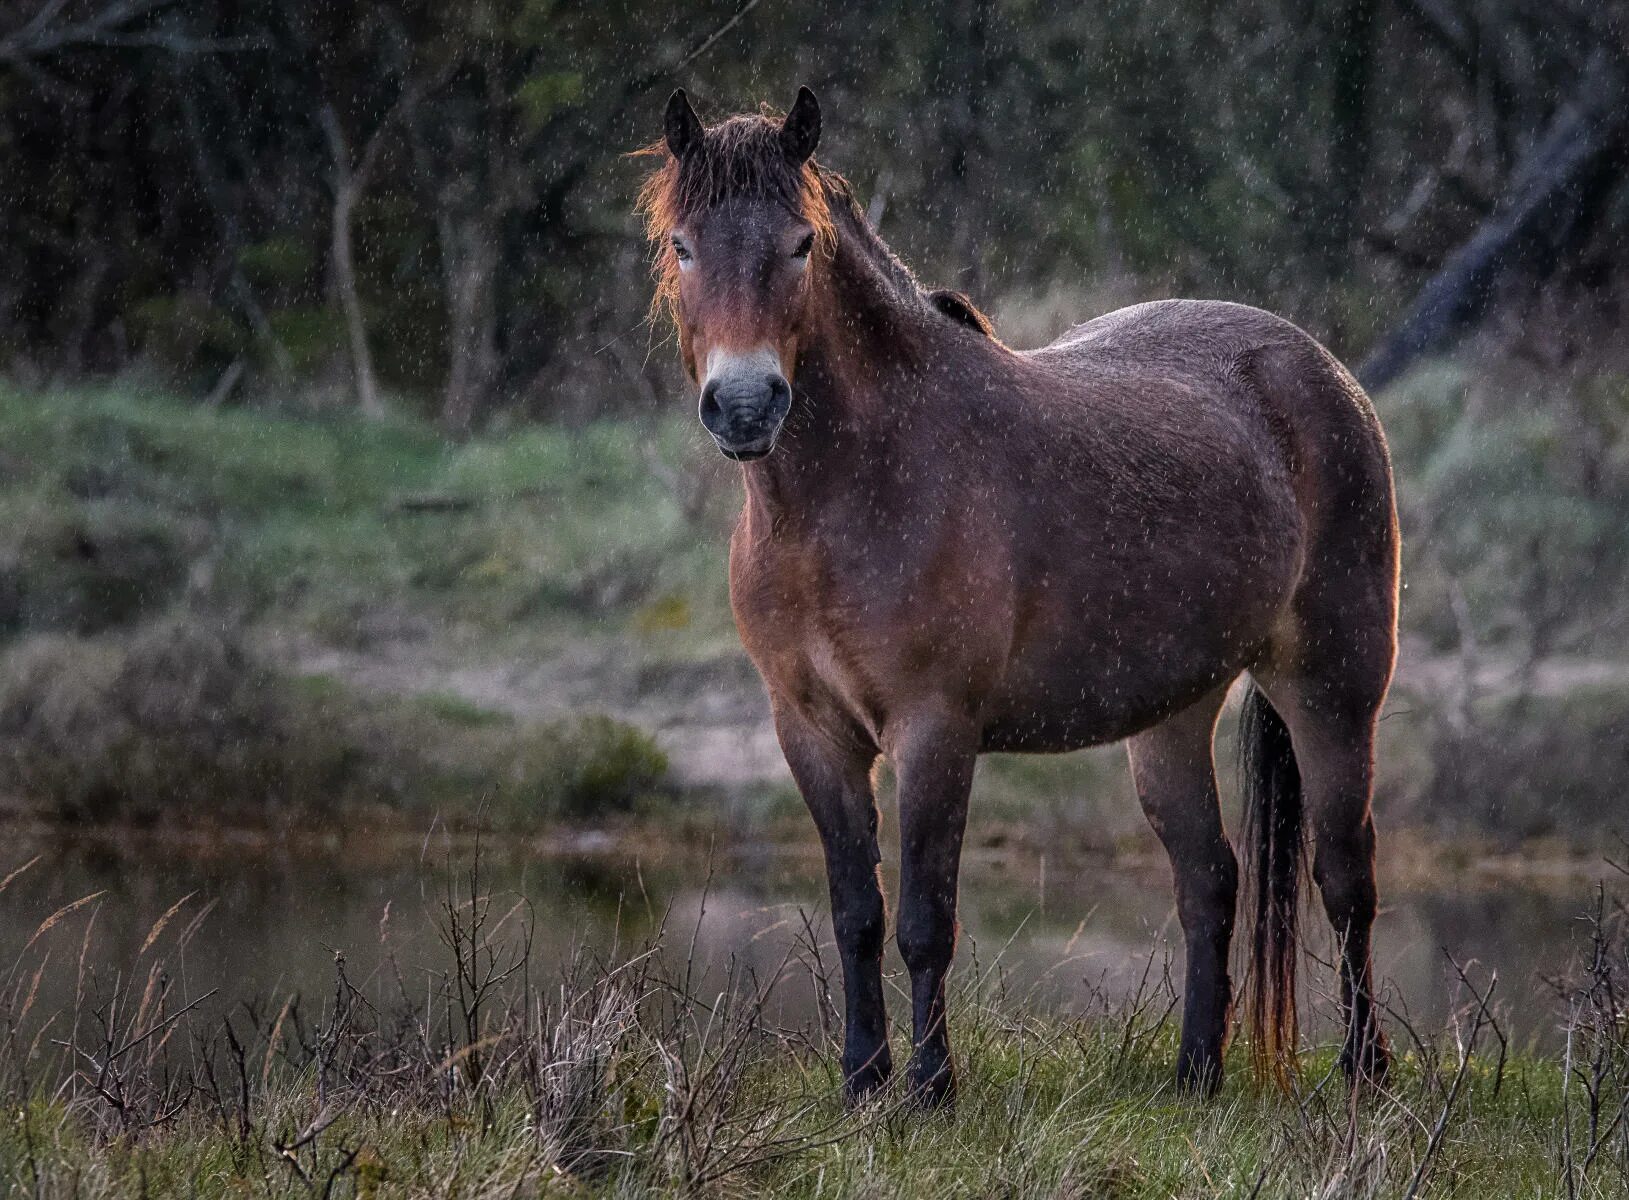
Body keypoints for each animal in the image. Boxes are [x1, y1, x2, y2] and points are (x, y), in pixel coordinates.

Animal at [635, 86, 1400, 1107]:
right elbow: (854, 914)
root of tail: (1323, 371)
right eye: (682, 246)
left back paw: (1364, 1070)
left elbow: (925, 919)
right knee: (1209, 881)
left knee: (1345, 876)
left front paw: (930, 1089)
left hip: (1333, 684)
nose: (747, 405)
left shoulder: (934, 729)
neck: (854, 493)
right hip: (1172, 714)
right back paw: (1195, 1075)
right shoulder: (810, 732)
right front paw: (863, 1079)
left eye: (799, 244)